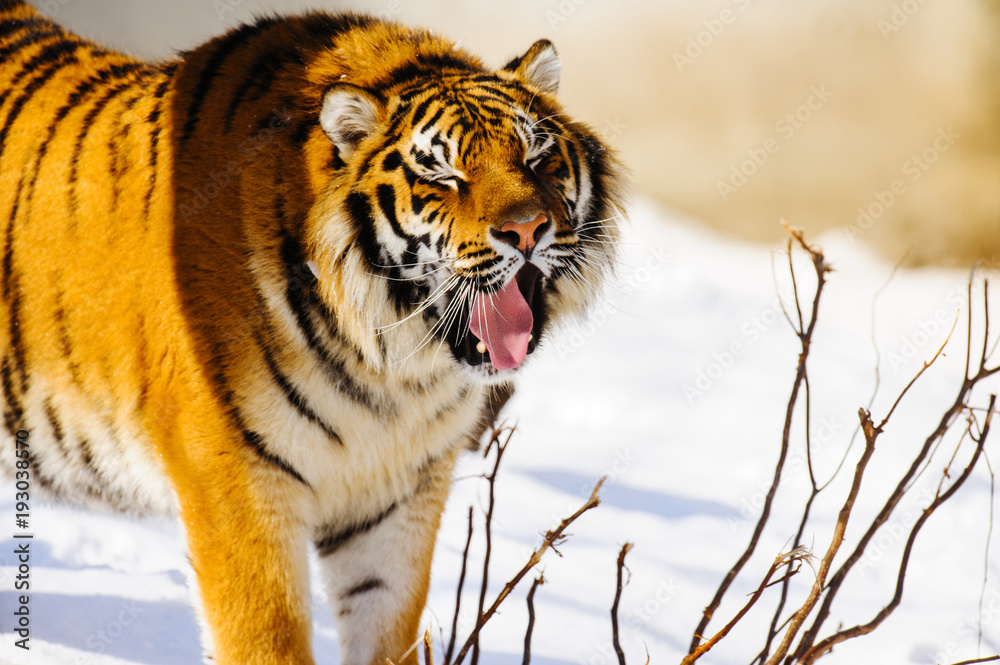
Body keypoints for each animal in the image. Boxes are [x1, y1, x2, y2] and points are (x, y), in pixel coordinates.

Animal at [0, 1, 625, 663]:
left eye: (536, 158)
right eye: (442, 175)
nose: (527, 229)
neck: (393, 366)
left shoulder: (398, 498)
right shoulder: (238, 486)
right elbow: (266, 638)